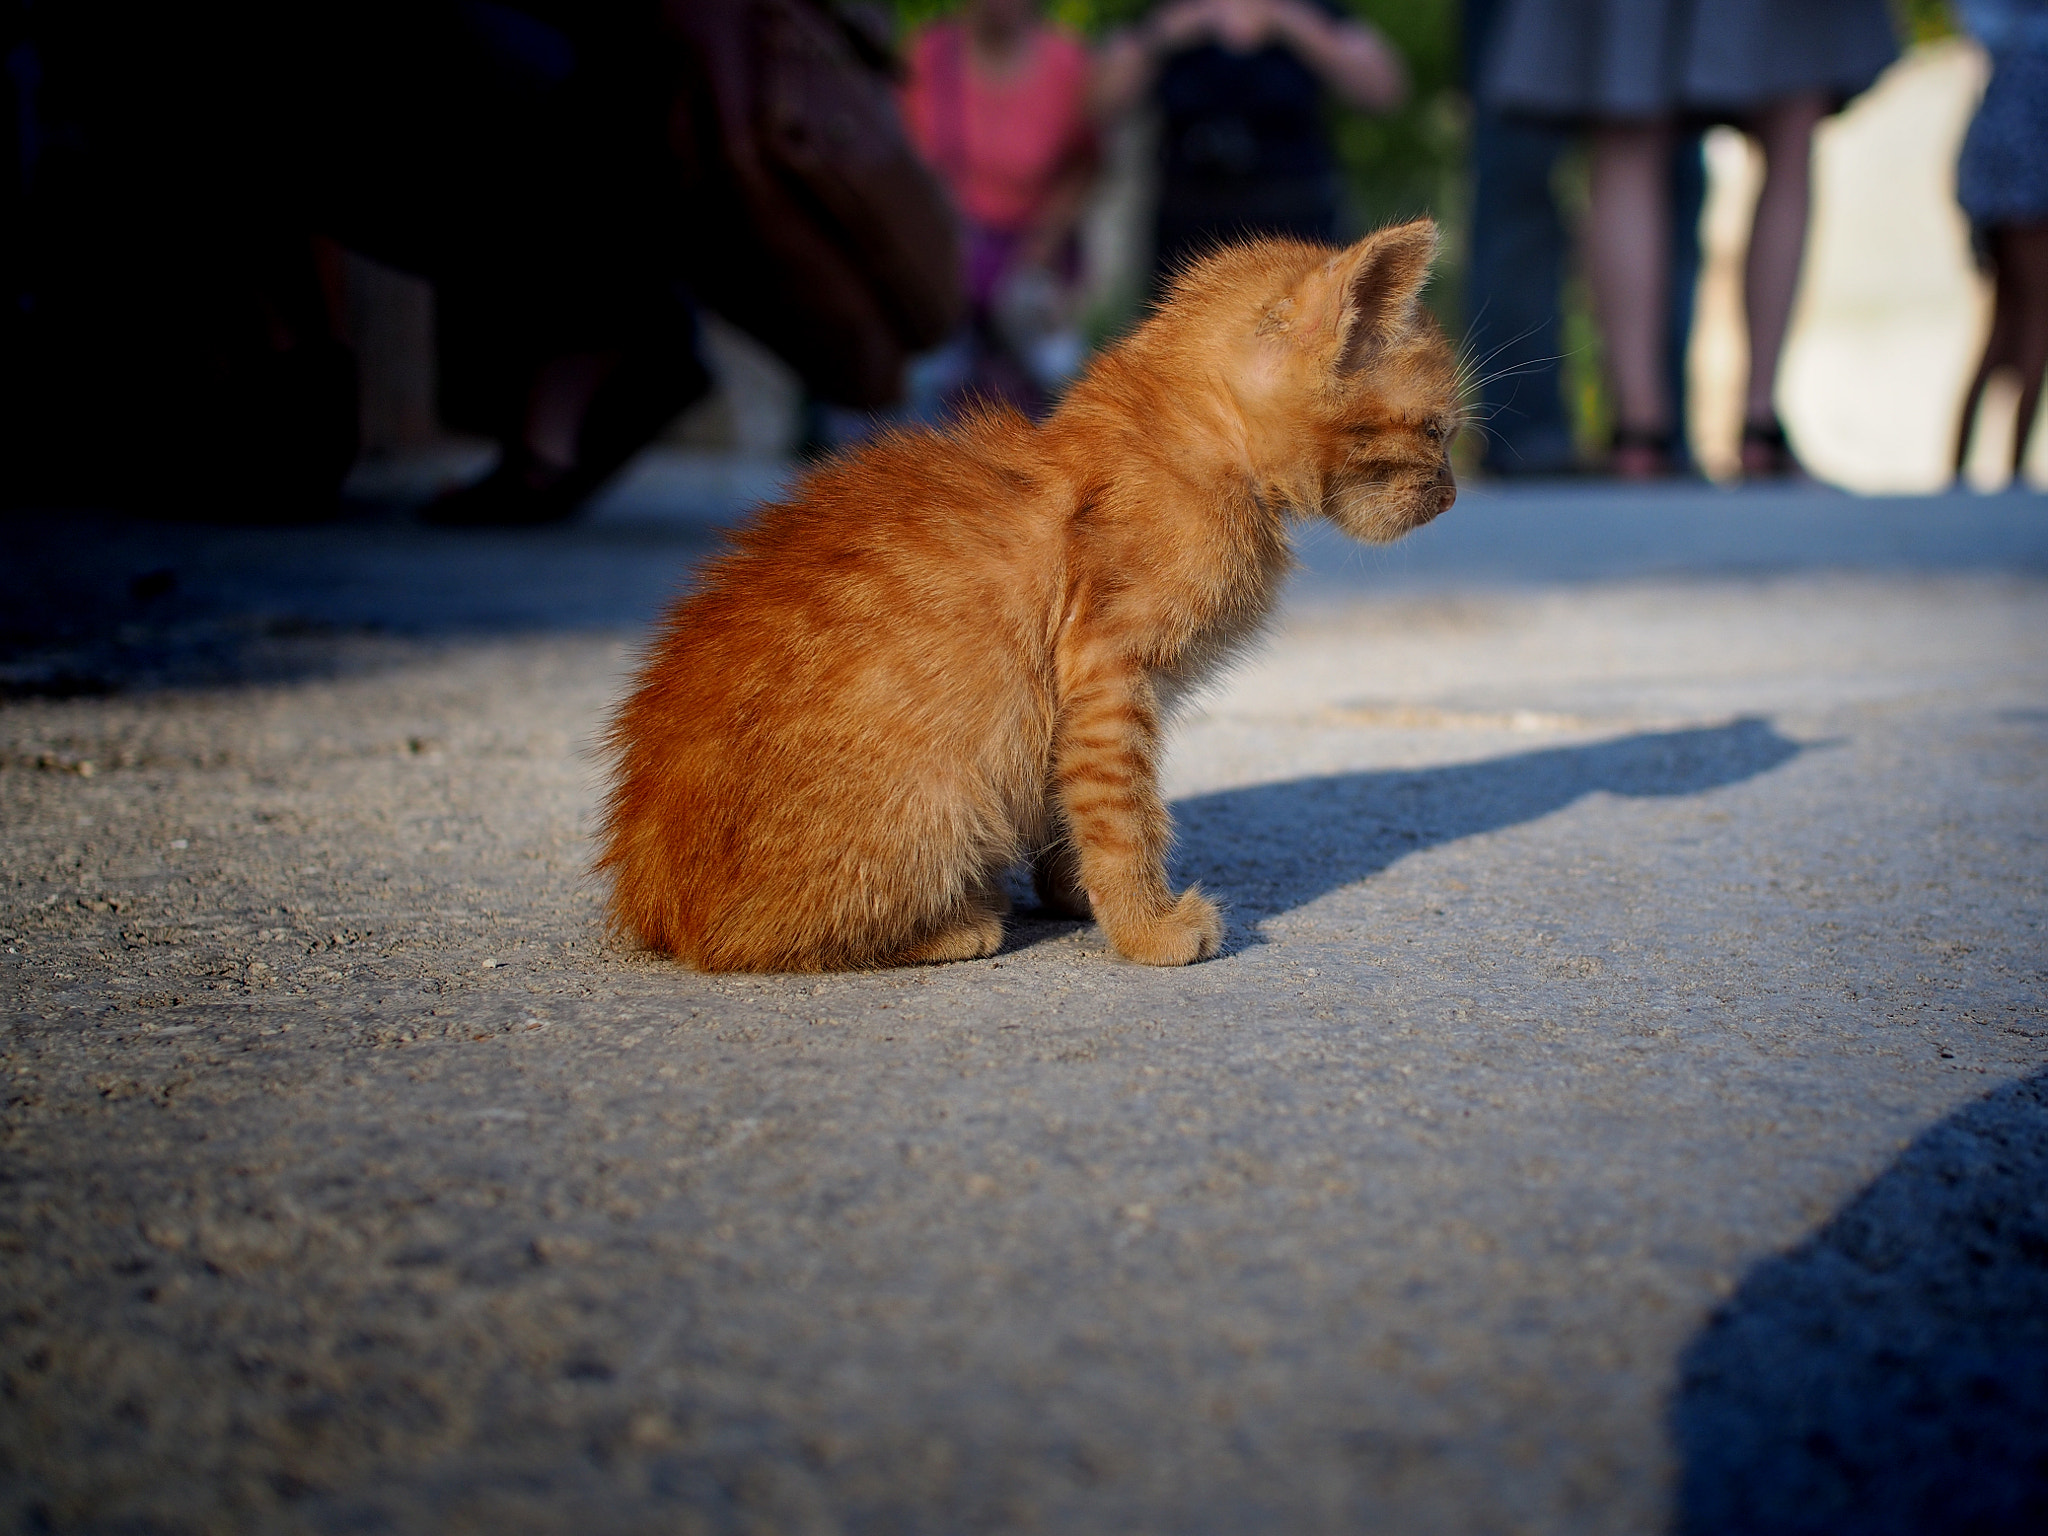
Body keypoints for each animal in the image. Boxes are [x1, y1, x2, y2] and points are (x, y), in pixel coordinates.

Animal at [598, 218, 1466, 974]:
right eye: (1436, 431)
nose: (1453, 495)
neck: (1192, 449)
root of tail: (654, 904)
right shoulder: (1106, 671)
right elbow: (1122, 812)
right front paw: (1146, 928)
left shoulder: (1078, 696)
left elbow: (1068, 799)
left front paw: (1073, 895)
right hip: (937, 800)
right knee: (755, 940)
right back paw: (954, 925)